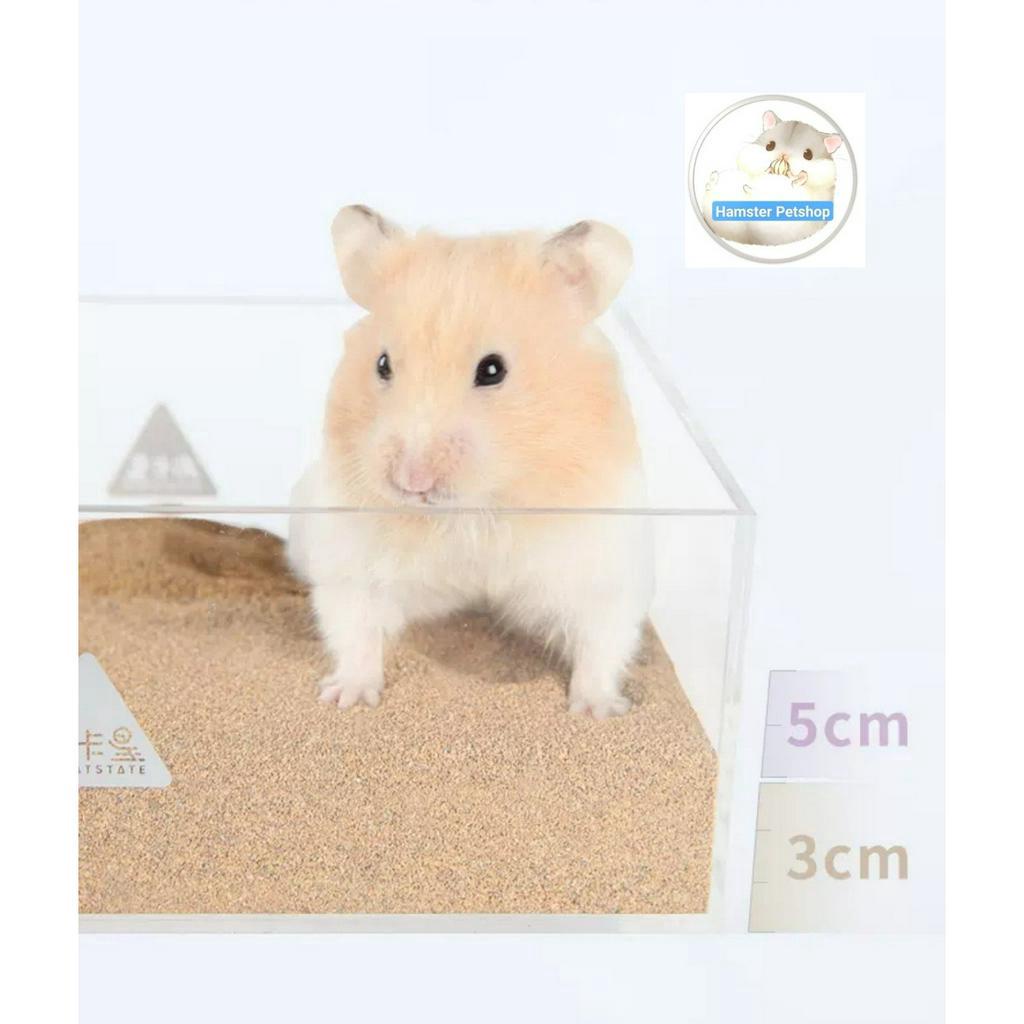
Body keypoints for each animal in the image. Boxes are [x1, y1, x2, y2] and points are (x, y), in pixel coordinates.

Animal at [287, 206, 653, 718]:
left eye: (493, 370)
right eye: (382, 364)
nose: (412, 480)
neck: (473, 510)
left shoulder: (602, 567)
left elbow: (601, 643)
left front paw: (596, 712)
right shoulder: (352, 561)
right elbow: (354, 628)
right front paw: (349, 699)